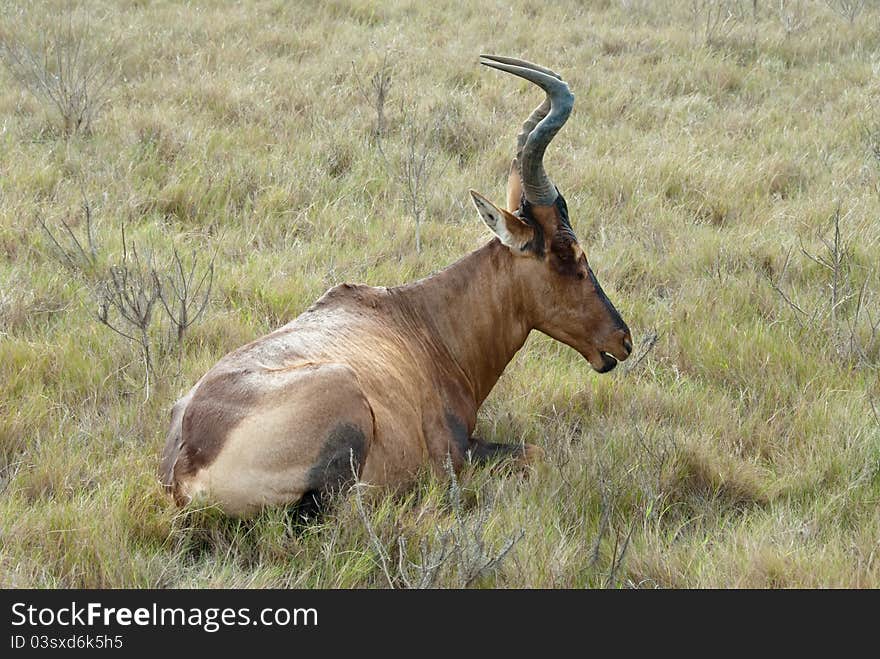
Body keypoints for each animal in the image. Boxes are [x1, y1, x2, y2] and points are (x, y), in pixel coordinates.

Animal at [160, 55, 632, 516]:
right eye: (566, 253)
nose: (623, 340)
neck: (420, 322)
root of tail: (187, 468)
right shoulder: (455, 456)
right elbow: (534, 453)